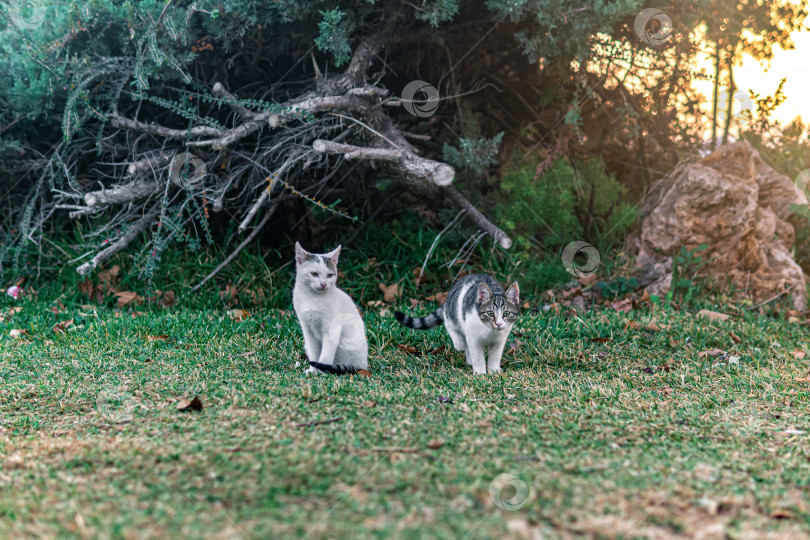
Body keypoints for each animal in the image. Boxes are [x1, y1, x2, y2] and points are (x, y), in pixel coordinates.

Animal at [292, 243, 368, 374]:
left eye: (330, 275)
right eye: (314, 274)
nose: (323, 284)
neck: (313, 297)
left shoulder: (332, 330)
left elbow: (326, 355)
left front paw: (321, 372)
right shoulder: (307, 330)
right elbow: (314, 352)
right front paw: (313, 371)